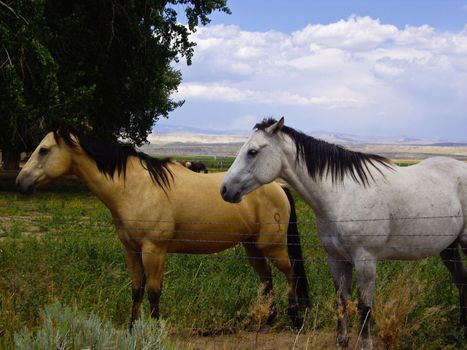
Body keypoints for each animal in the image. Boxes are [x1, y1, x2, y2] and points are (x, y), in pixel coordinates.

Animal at [221, 118, 467, 350]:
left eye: (252, 152)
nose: (224, 190)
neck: (342, 196)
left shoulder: (365, 261)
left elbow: (364, 306)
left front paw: (366, 343)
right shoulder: (337, 260)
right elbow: (342, 301)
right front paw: (342, 341)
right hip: (449, 247)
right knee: (461, 281)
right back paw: (461, 328)